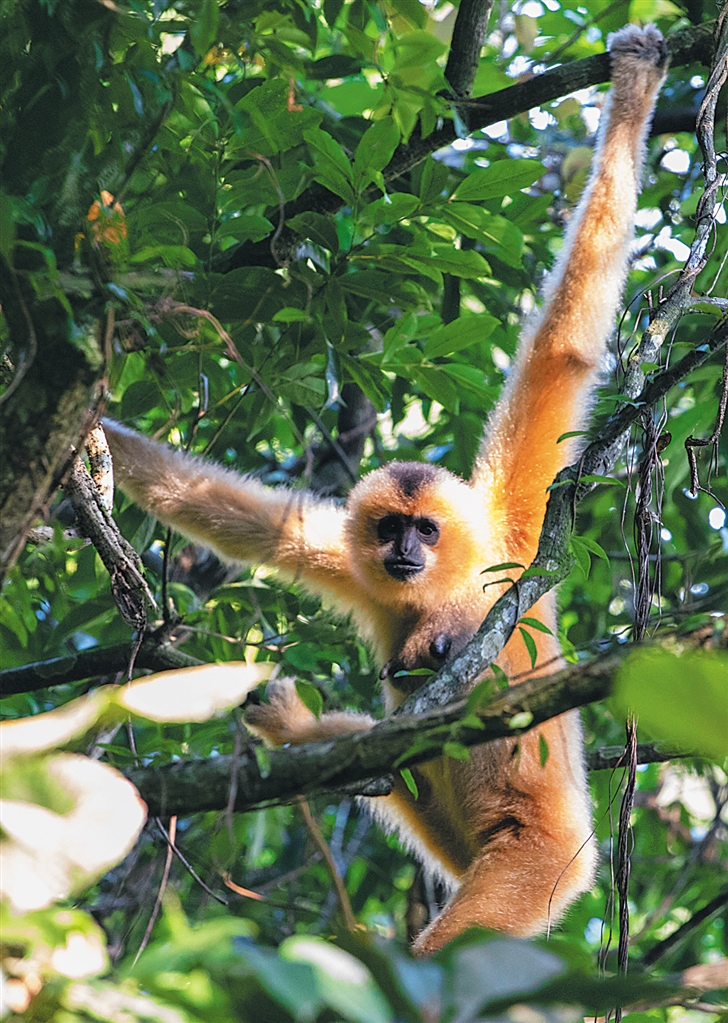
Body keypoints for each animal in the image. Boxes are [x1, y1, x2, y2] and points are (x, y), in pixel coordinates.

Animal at [101, 25, 667, 955]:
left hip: (541, 861)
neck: (443, 587)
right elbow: (247, 518)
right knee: (375, 747)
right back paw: (301, 724)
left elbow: (563, 351)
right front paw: (80, 427)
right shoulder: (357, 565)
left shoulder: (512, 546)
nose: (403, 551)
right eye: (391, 529)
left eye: (427, 531)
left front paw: (632, 91)